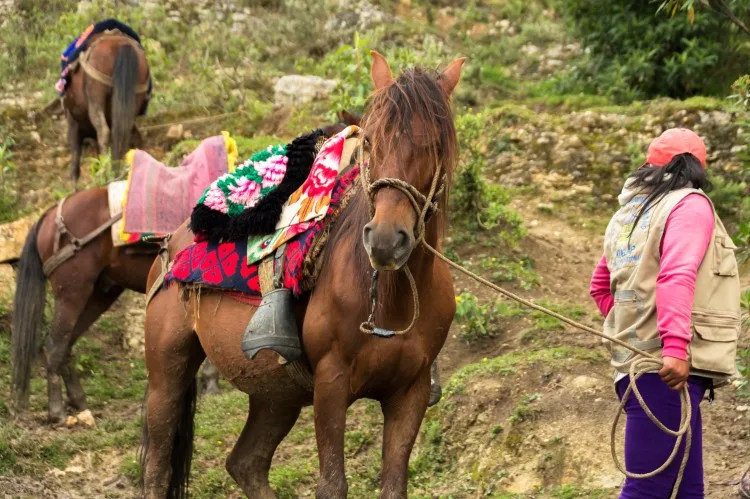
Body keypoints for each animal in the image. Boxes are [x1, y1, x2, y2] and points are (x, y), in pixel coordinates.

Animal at [8, 114, 362, 426]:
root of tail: (51, 213)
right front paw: (211, 383)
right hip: (74, 291)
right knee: (55, 346)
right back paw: (57, 410)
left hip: (99, 292)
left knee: (65, 346)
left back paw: (79, 403)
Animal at [61, 27, 151, 188]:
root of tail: (122, 45)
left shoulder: (73, 125)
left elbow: (75, 158)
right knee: (125, 133)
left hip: (96, 99)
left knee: (104, 132)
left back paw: (105, 174)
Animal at [138, 51, 462, 499]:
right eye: (371, 142)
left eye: (435, 145)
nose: (384, 241)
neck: (388, 298)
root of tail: (174, 239)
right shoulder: (331, 384)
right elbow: (332, 485)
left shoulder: (409, 393)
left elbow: (394, 485)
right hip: (167, 374)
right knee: (158, 467)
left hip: (275, 393)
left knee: (247, 463)